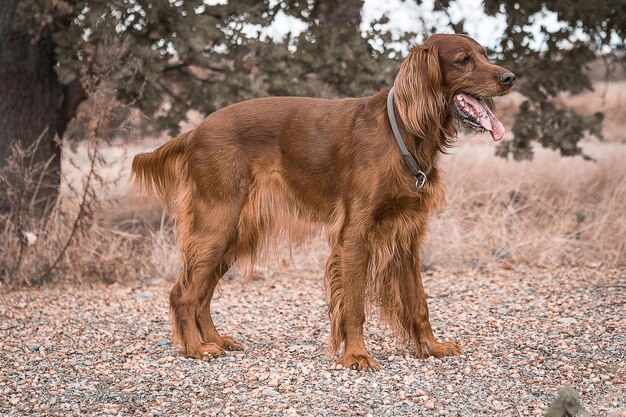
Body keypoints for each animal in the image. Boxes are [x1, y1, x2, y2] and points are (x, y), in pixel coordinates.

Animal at [130, 34, 512, 368]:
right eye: (463, 60)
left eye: (484, 53)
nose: (509, 77)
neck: (402, 133)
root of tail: (196, 131)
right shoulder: (355, 234)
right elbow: (354, 304)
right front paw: (356, 356)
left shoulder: (407, 234)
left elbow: (419, 301)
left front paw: (431, 347)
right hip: (216, 225)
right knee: (183, 293)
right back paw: (196, 348)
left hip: (235, 233)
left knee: (202, 292)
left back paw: (215, 339)